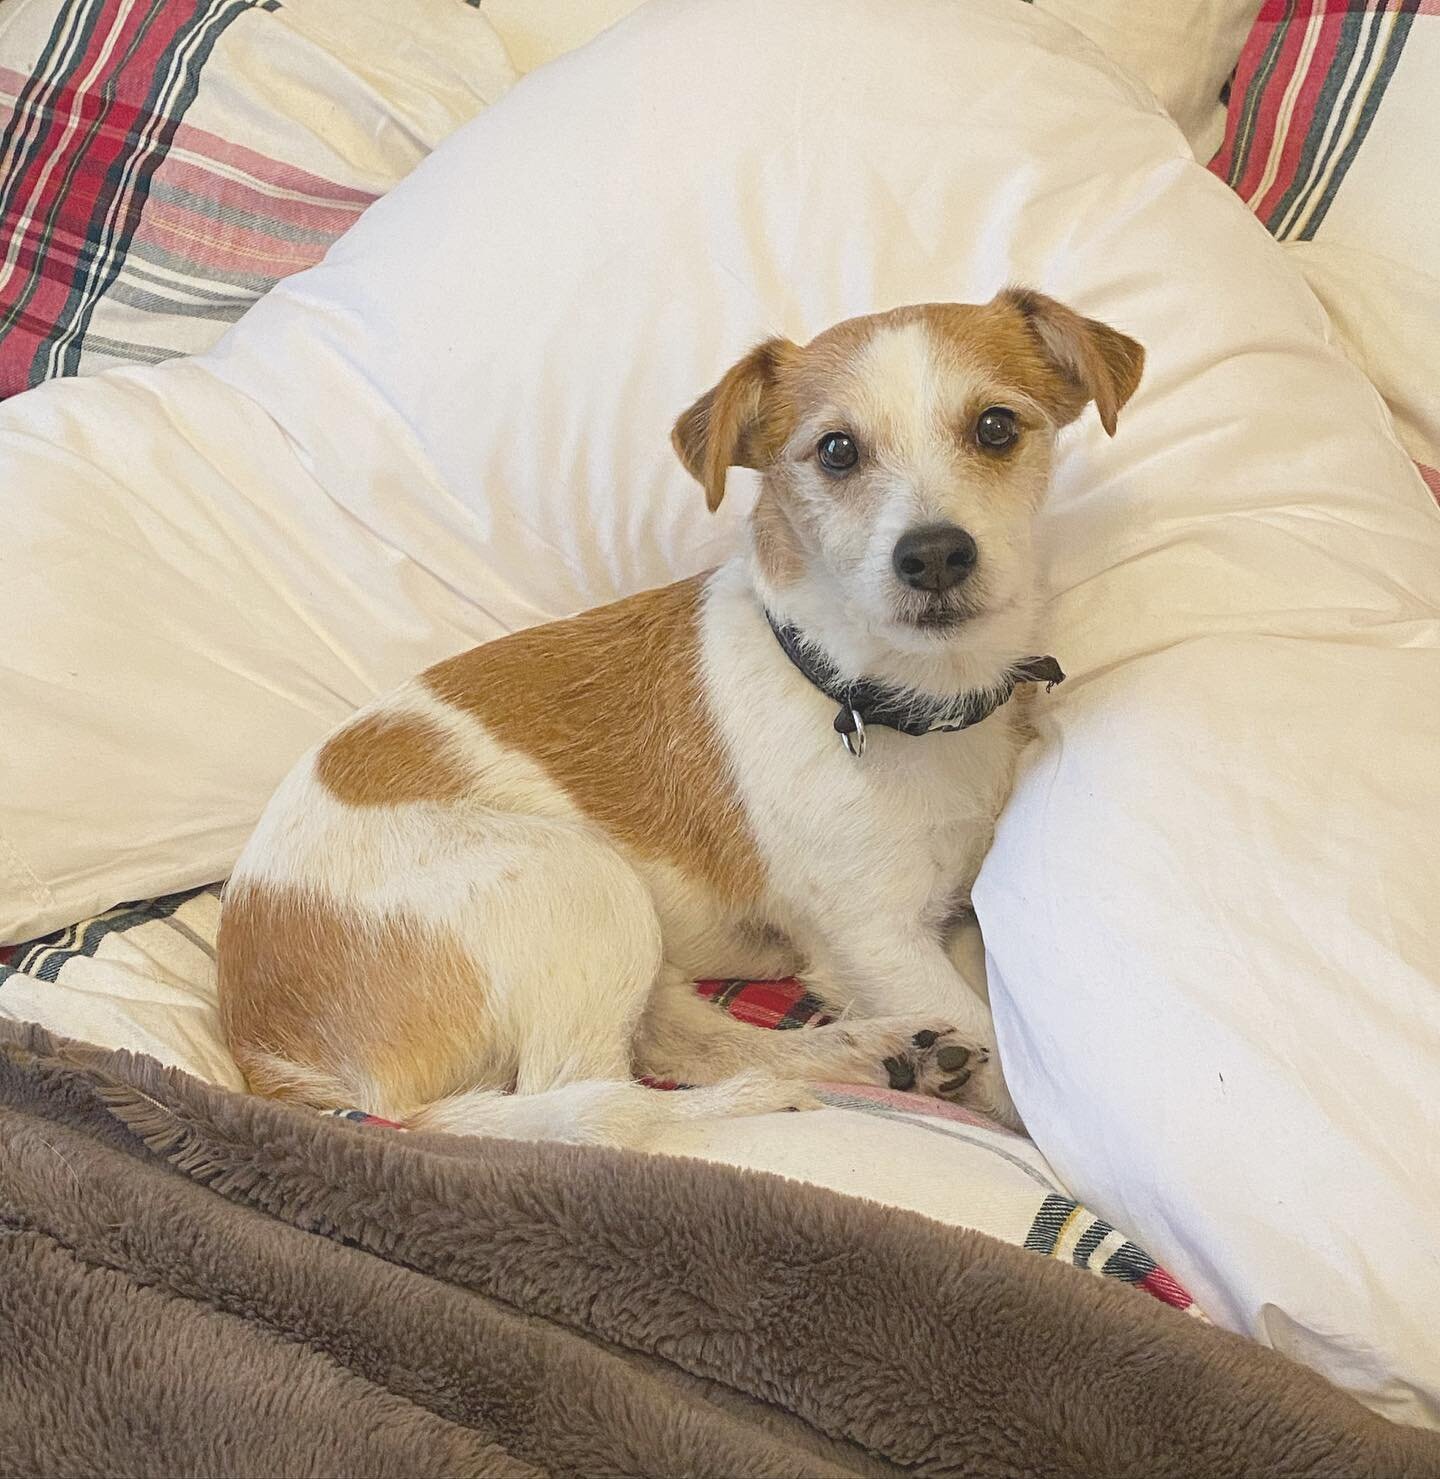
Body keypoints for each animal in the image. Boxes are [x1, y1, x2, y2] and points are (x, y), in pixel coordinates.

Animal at [217, 288, 1141, 1141]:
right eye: (837, 450)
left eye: (995, 427)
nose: (936, 553)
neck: (870, 699)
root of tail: (264, 1045)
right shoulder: (875, 937)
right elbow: (1007, 1063)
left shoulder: (946, 915)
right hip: (577, 883)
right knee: (594, 1100)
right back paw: (752, 1101)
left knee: (670, 1043)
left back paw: (879, 1053)